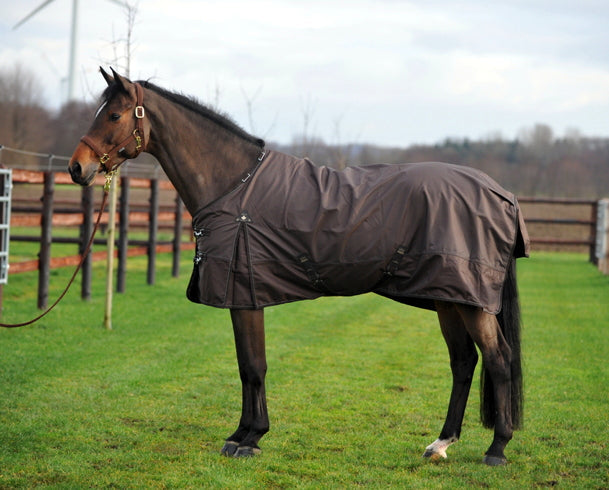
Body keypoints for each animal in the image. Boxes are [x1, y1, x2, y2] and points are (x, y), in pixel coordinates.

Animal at [69, 67, 528, 466]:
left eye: (114, 114)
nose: (77, 167)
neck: (233, 185)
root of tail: (502, 195)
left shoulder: (246, 295)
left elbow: (254, 367)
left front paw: (251, 438)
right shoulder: (245, 298)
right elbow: (247, 366)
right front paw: (241, 434)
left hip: (469, 302)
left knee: (498, 359)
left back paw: (497, 449)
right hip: (448, 298)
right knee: (464, 363)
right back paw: (441, 444)